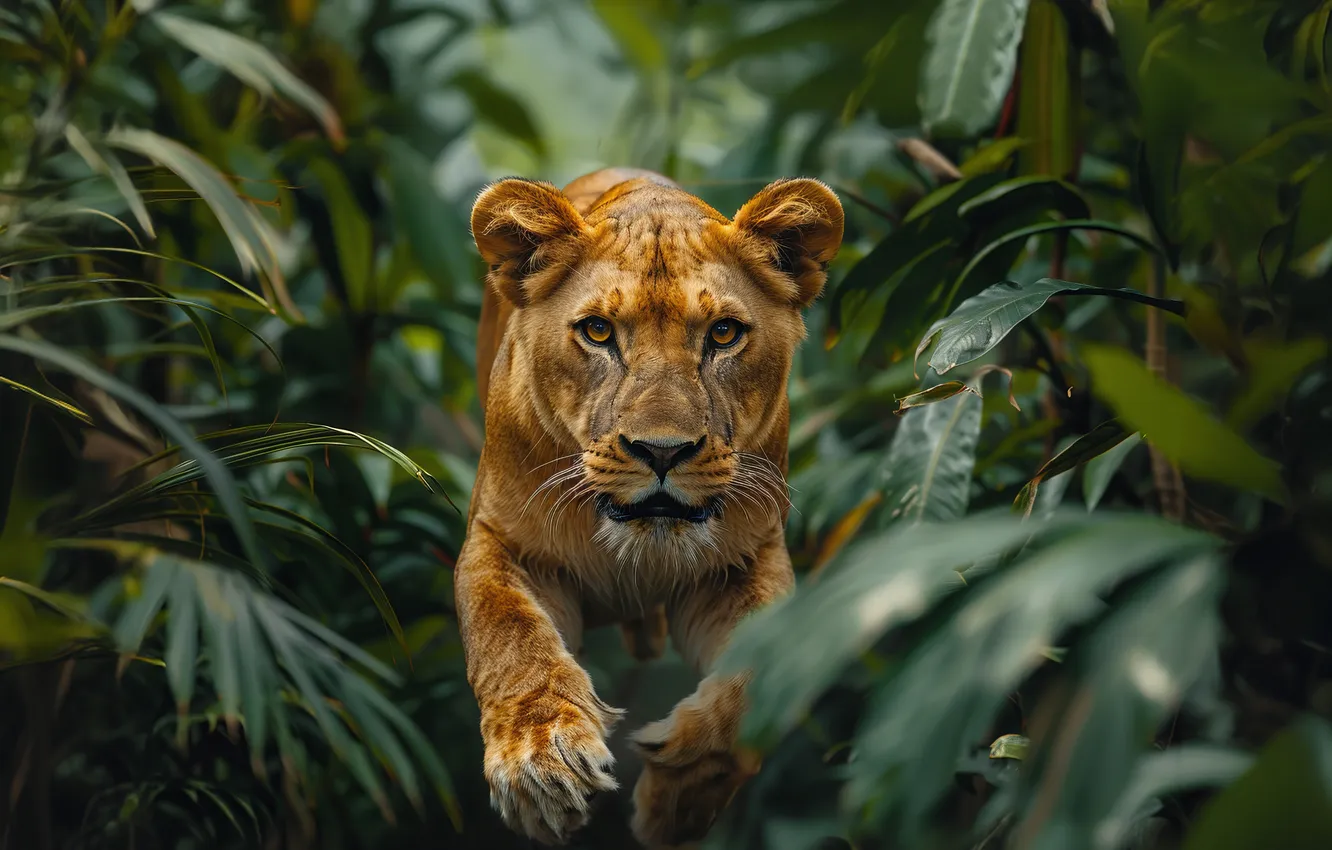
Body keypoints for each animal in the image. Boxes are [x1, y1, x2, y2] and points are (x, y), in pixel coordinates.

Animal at [456, 166, 843, 847]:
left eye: (723, 333)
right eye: (598, 332)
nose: (662, 451)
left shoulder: (746, 559)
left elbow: (755, 677)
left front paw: (676, 798)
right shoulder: (501, 539)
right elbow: (508, 635)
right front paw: (541, 766)